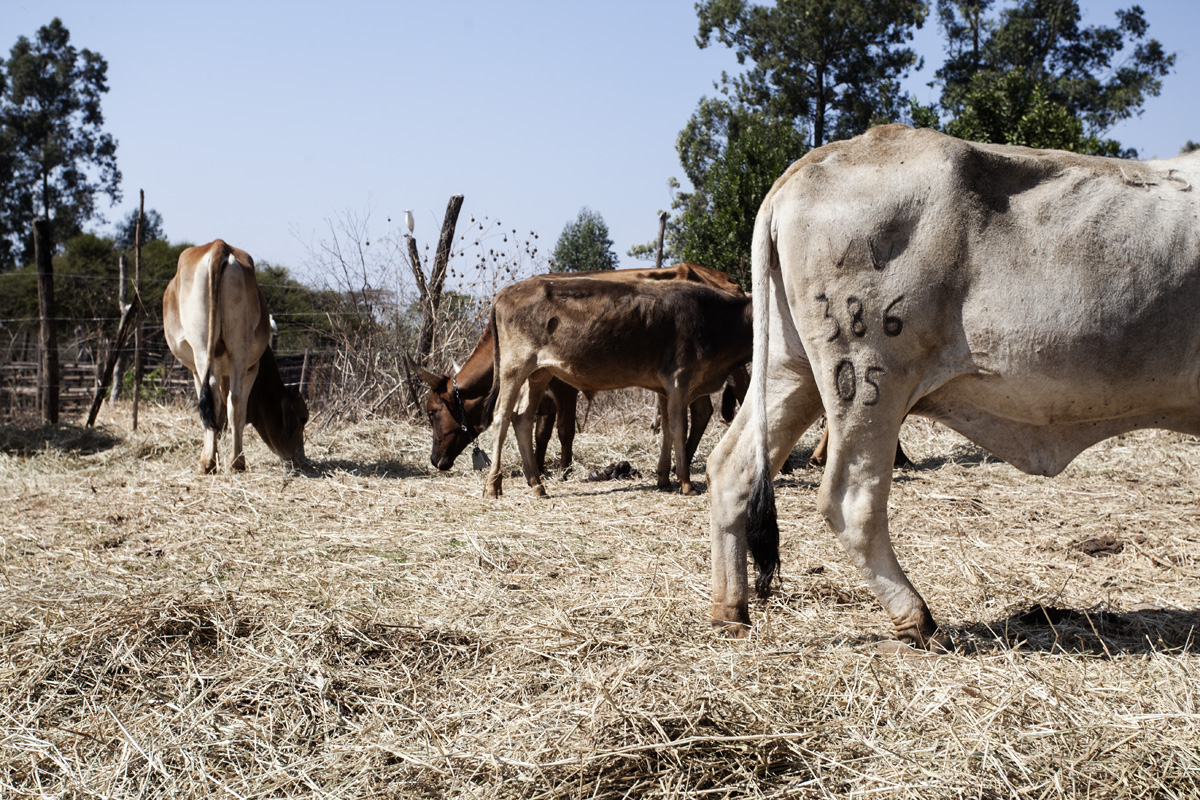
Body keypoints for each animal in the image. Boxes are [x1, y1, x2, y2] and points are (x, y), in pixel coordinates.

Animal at [164, 240, 309, 473]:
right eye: (303, 418)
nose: (300, 457)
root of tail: (218, 246)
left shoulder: (205, 369)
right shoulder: (248, 367)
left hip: (208, 350)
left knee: (223, 399)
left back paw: (219, 462)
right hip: (232, 352)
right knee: (232, 400)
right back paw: (230, 461)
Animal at [411, 263, 746, 478]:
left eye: (431, 411)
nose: (435, 460)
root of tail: (726, 279)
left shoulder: (563, 385)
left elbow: (564, 429)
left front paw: (563, 469)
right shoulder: (542, 388)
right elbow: (539, 430)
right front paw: (539, 466)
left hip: (734, 366)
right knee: (702, 410)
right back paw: (682, 461)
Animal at [482, 276, 754, 497]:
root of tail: (507, 291)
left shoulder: (665, 387)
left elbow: (666, 428)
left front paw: (664, 478)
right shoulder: (679, 379)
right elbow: (679, 428)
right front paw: (685, 483)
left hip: (539, 373)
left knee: (523, 418)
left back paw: (537, 484)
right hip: (514, 367)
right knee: (501, 417)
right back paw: (494, 485)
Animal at [707, 124, 1200, 650]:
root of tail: (809, 164)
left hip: (791, 366)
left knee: (733, 467)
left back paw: (730, 612)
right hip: (869, 376)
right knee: (850, 498)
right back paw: (916, 617)